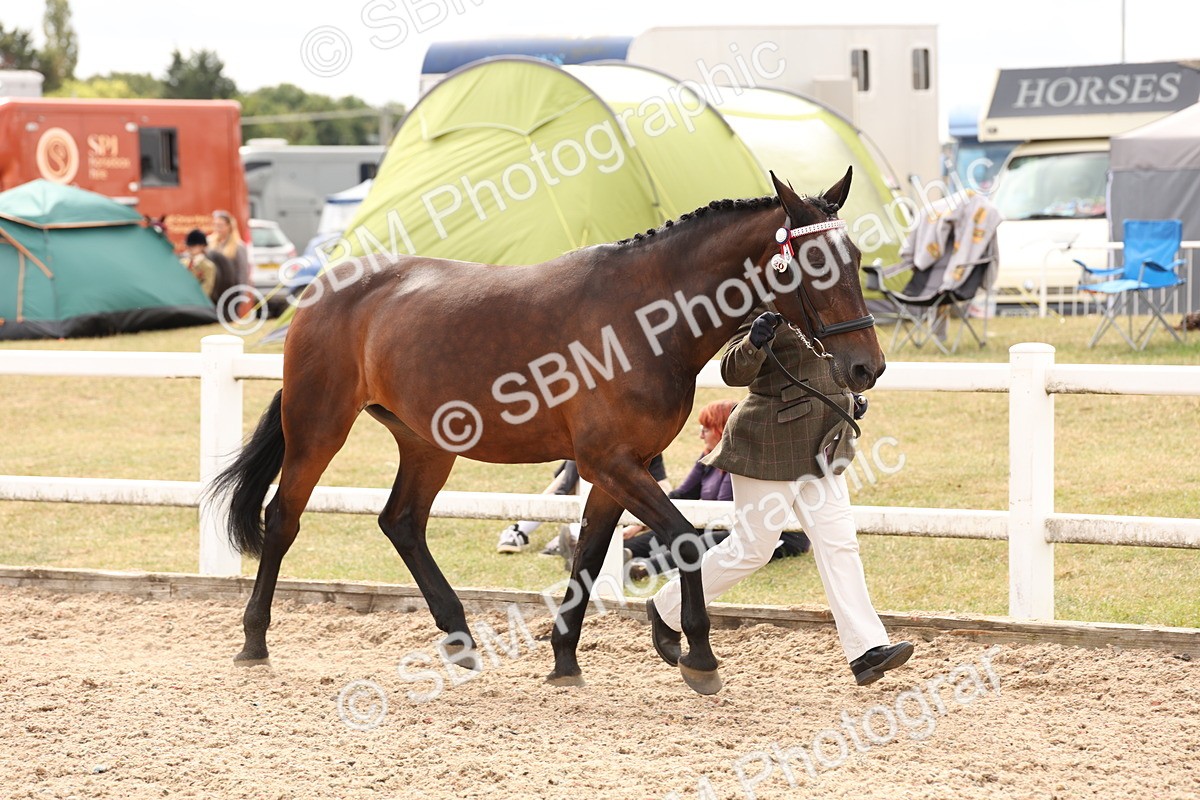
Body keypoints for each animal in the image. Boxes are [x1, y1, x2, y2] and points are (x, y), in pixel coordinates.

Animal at [207, 167, 885, 695]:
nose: (866, 368)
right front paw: (697, 654)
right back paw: (253, 642)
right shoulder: (610, 462)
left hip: (426, 442)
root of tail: (320, 289)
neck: (643, 318)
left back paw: (459, 638)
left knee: (401, 522)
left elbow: (588, 556)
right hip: (319, 426)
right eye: (816, 263)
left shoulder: (618, 469)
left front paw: (565, 660)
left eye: (856, 260)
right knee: (284, 518)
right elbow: (686, 539)